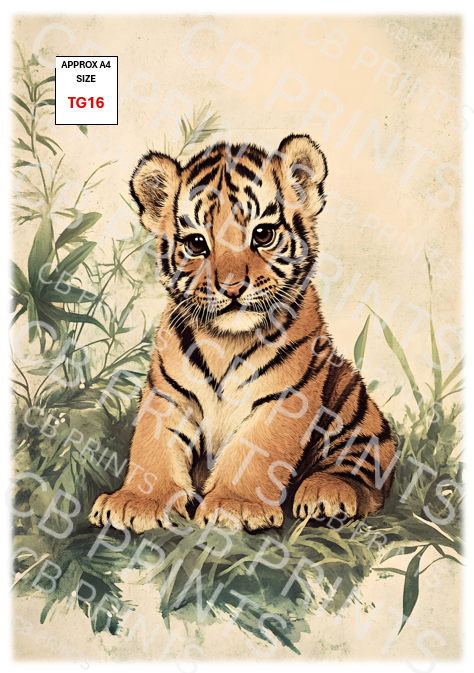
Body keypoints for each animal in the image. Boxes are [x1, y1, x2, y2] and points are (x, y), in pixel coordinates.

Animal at [89, 133, 397, 534]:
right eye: (196, 243)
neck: (225, 341)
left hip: (354, 406)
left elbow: (254, 450)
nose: (232, 287)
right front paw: (137, 502)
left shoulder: (284, 398)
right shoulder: (169, 395)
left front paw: (234, 506)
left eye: (262, 234)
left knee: (363, 472)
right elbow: (153, 446)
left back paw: (327, 493)